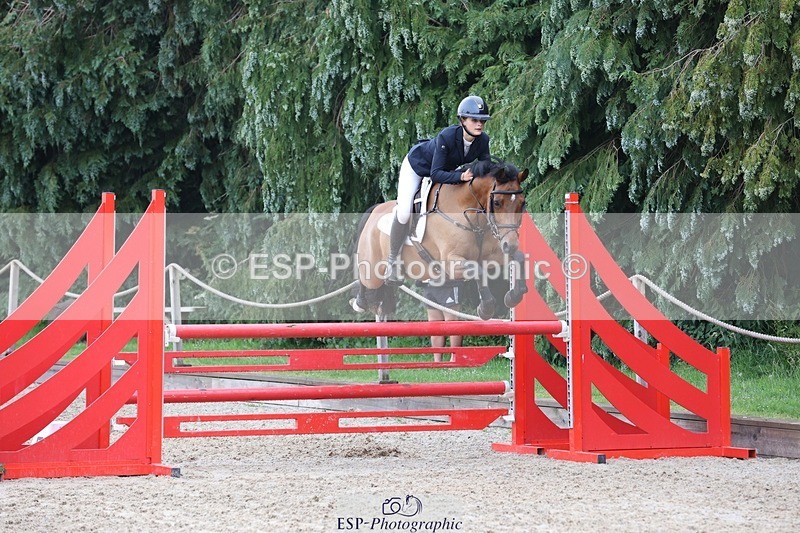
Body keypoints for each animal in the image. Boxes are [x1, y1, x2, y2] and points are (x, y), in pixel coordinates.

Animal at [351, 159, 529, 319]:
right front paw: (486, 308)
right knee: (365, 279)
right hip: (373, 271)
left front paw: (513, 296)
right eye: (497, 203)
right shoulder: (450, 263)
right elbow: (477, 270)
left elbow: (519, 257)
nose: (511, 245)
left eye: (522, 203)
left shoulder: (490, 255)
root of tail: (375, 210)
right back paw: (359, 302)